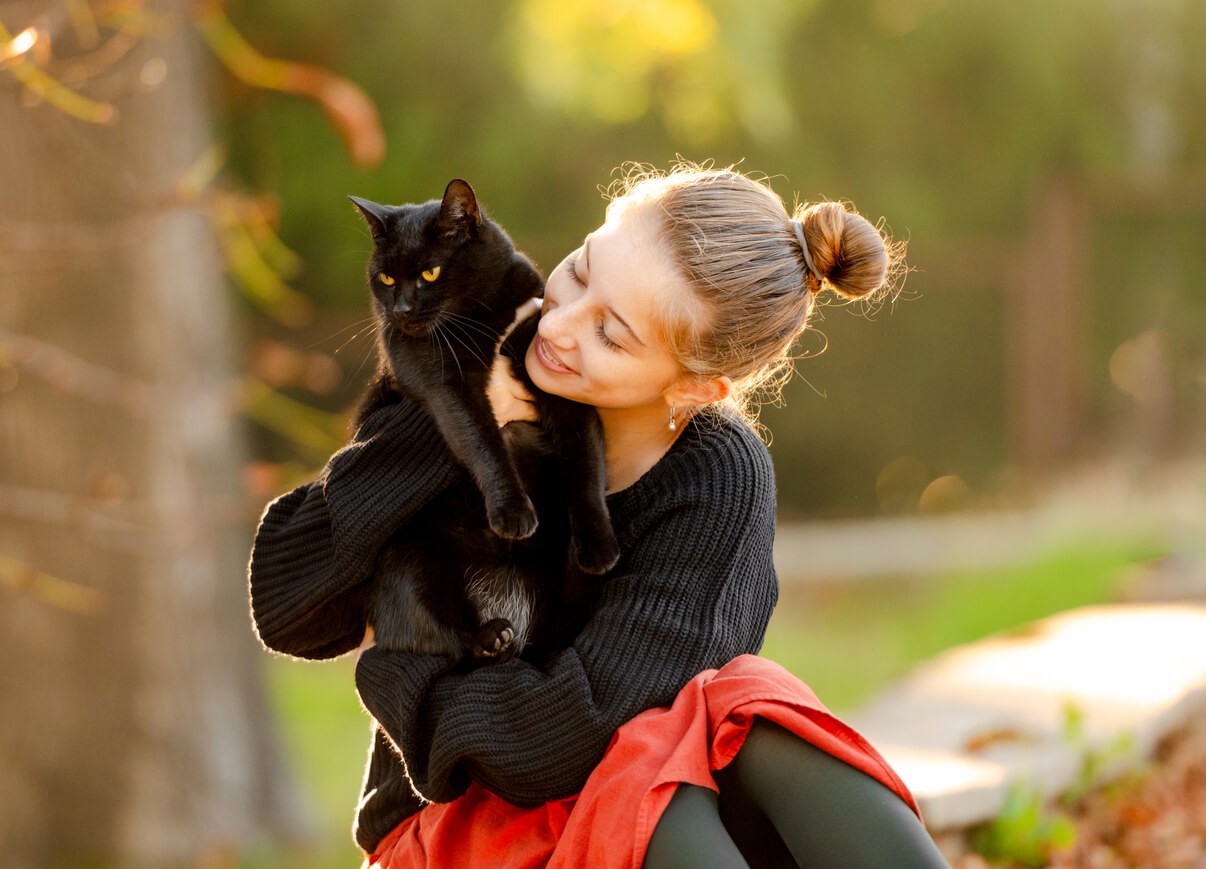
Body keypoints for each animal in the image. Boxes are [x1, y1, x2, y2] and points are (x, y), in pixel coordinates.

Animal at [347, 179, 612, 660]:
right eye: (387, 278)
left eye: (430, 273)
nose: (402, 310)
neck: (478, 321)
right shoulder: (444, 385)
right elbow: (482, 440)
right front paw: (513, 514)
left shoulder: (559, 382)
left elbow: (583, 461)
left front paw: (599, 545)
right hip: (410, 557)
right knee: (445, 635)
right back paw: (491, 637)